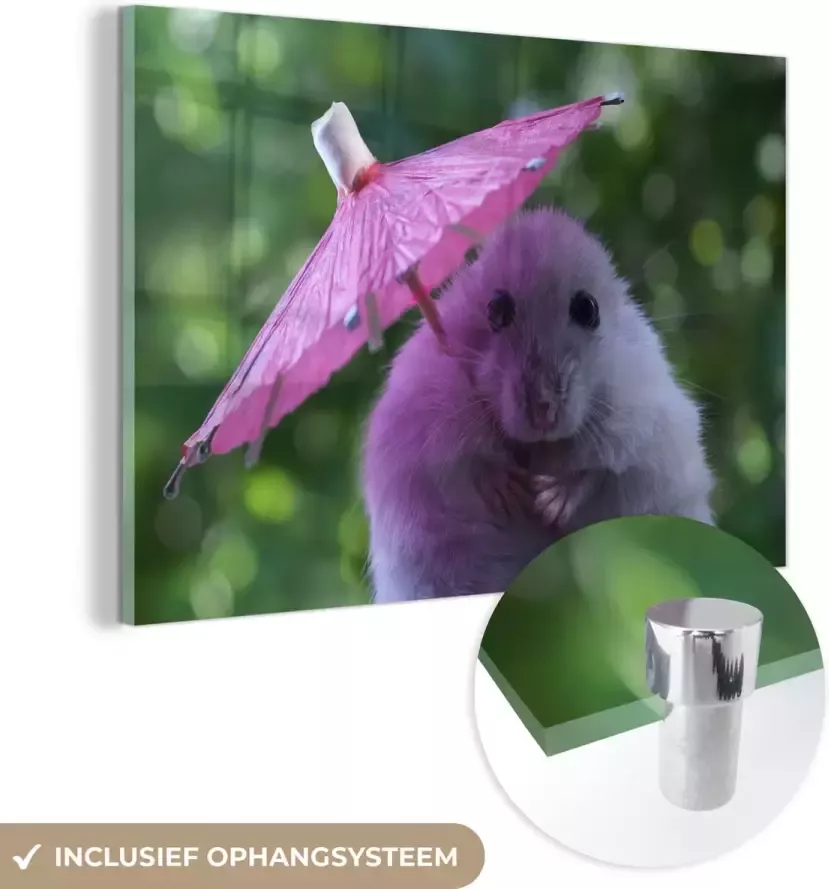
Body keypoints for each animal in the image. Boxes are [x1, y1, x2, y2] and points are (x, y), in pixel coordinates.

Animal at [361, 207, 714, 603]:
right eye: (496, 310)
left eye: (588, 308)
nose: (543, 412)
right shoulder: (424, 414)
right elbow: (466, 459)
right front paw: (512, 490)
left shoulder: (645, 410)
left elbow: (603, 464)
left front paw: (548, 501)